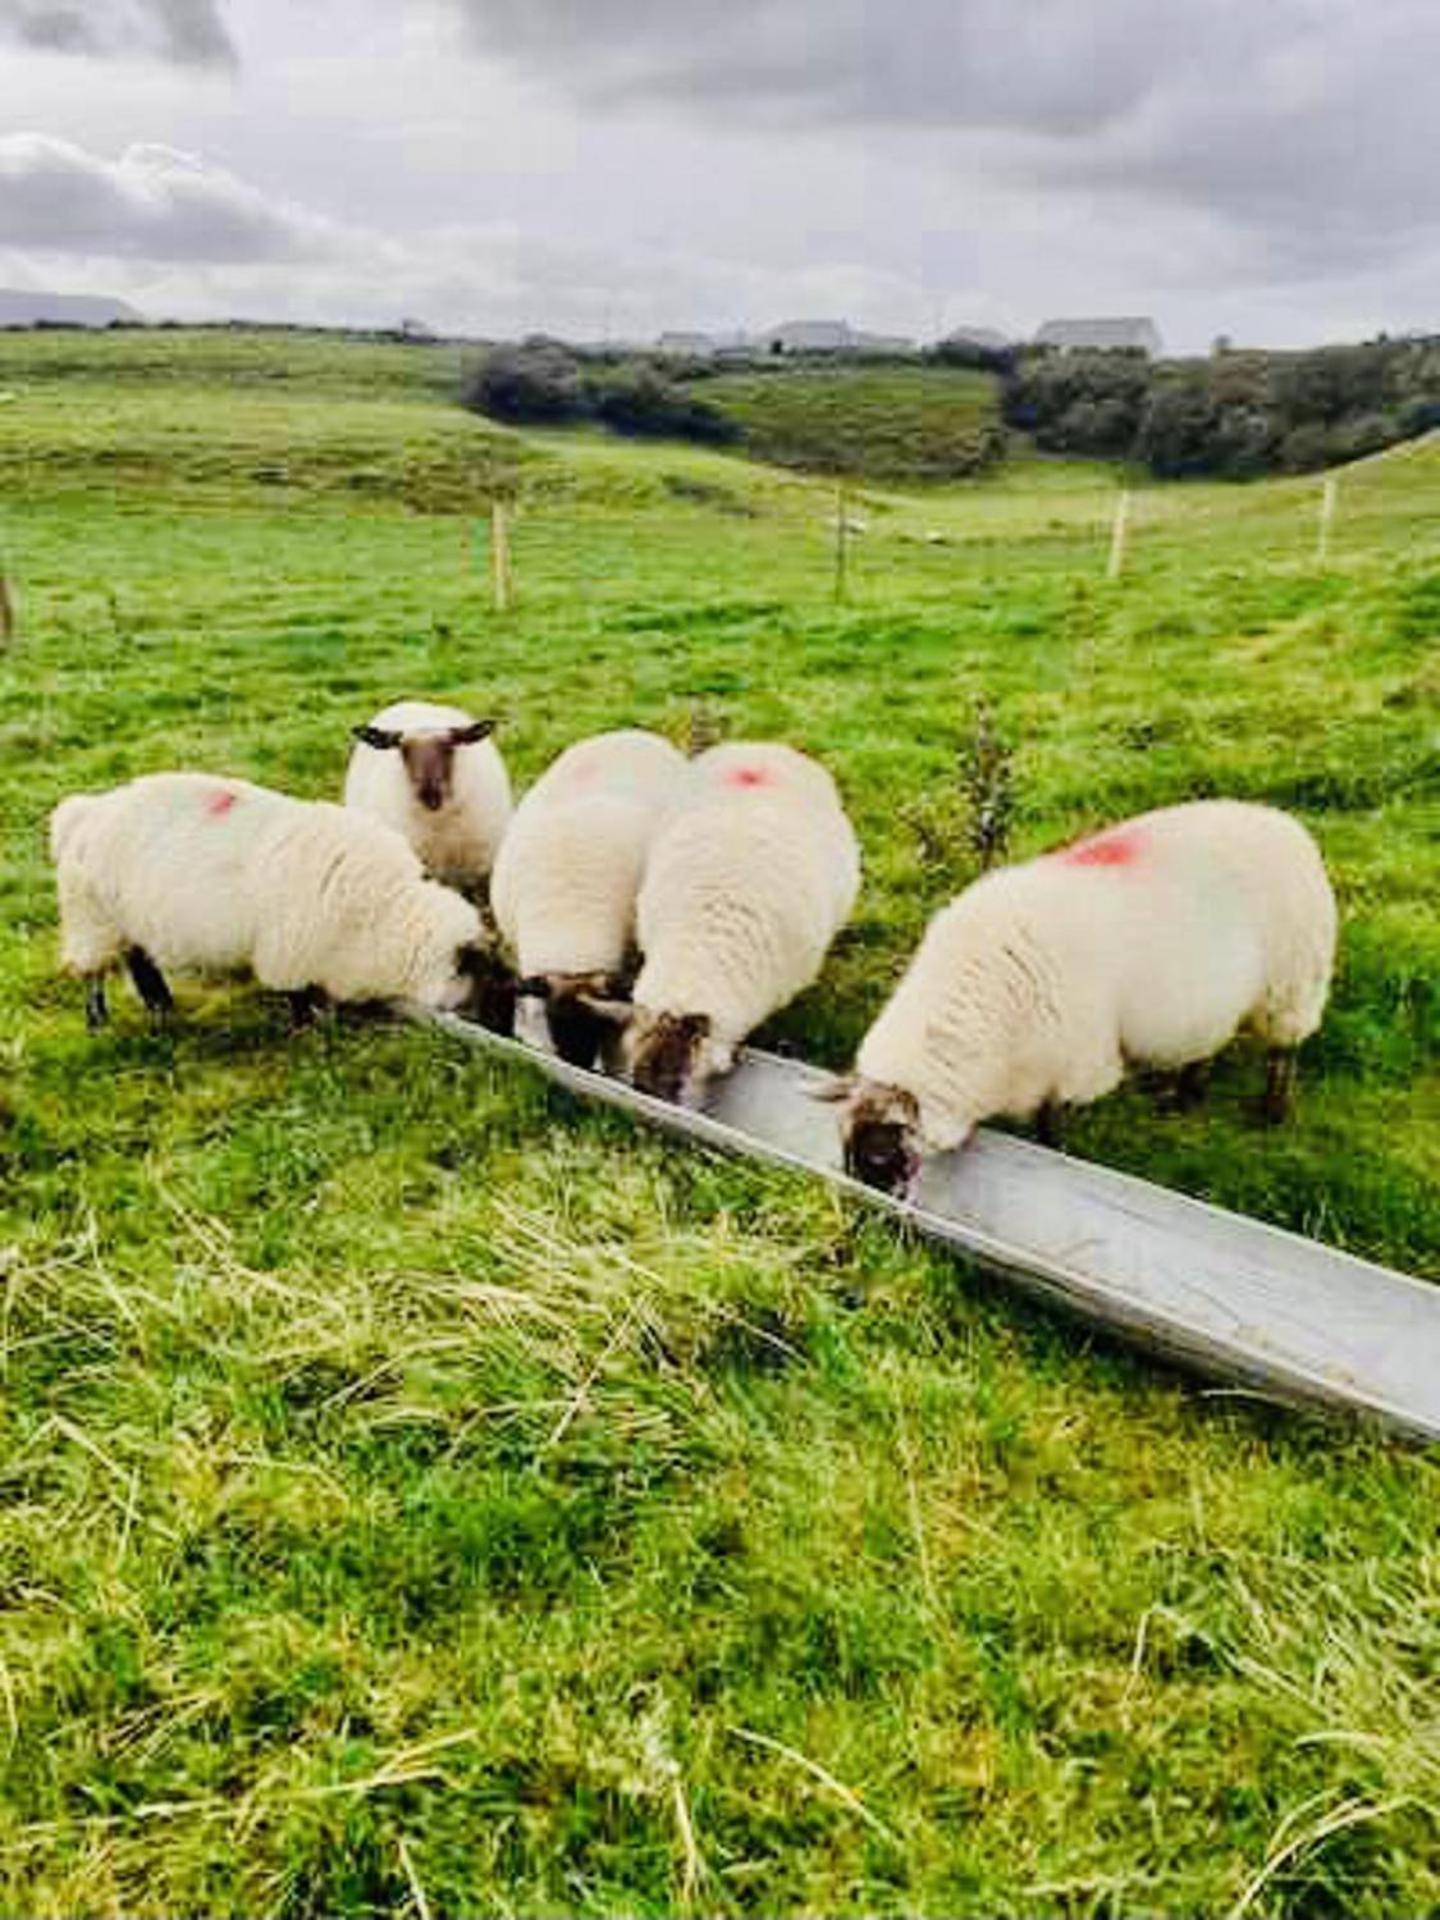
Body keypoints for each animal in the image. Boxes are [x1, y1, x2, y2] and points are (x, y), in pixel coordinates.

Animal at [49, 772, 515, 1031]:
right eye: (486, 984)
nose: (499, 1028)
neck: (388, 913)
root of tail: (82, 813)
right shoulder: (291, 951)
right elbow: (298, 995)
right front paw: (309, 1029)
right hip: (92, 919)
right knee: (94, 974)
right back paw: (99, 1021)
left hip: (126, 920)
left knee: (139, 959)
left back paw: (160, 1006)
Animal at [343, 699, 512, 895]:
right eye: (403, 750)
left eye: (449, 747)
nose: (429, 794)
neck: (439, 825)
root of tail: (412, 702)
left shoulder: (480, 874)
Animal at [829, 799, 1337, 1196]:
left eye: (879, 1153)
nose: (867, 1202)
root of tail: (1286, 824)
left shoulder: (1074, 1062)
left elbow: (1051, 1123)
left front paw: (1056, 1154)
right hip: (1222, 1000)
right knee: (1207, 1046)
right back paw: (1184, 1097)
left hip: (1292, 983)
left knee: (1284, 1050)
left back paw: (1271, 1112)